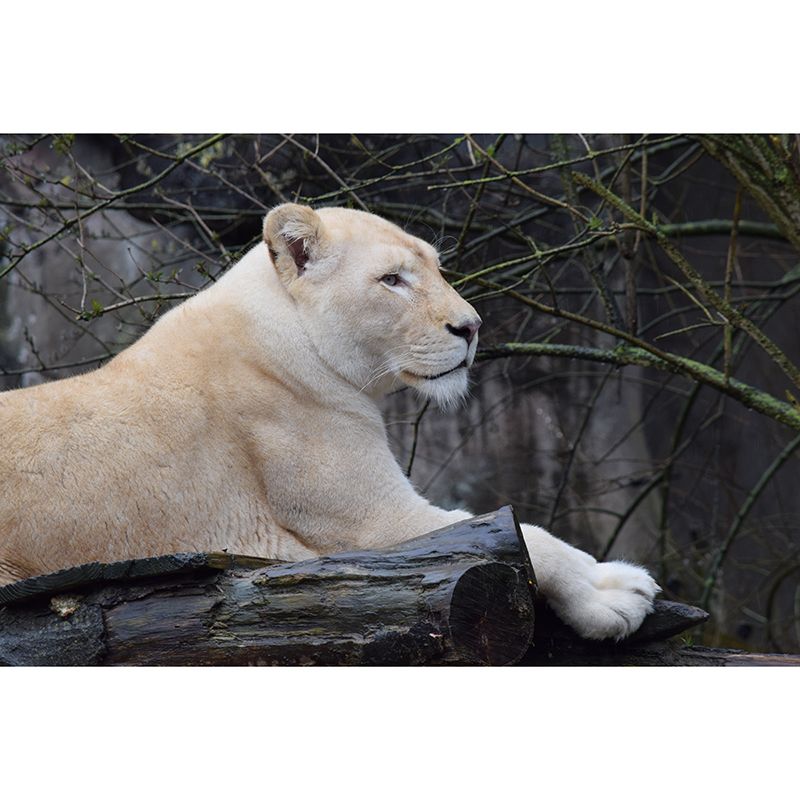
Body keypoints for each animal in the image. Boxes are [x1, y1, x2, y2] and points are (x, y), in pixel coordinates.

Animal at [0, 203, 659, 640]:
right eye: (392, 279)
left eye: (437, 268)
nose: (471, 328)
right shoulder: (368, 527)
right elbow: (526, 536)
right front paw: (619, 595)